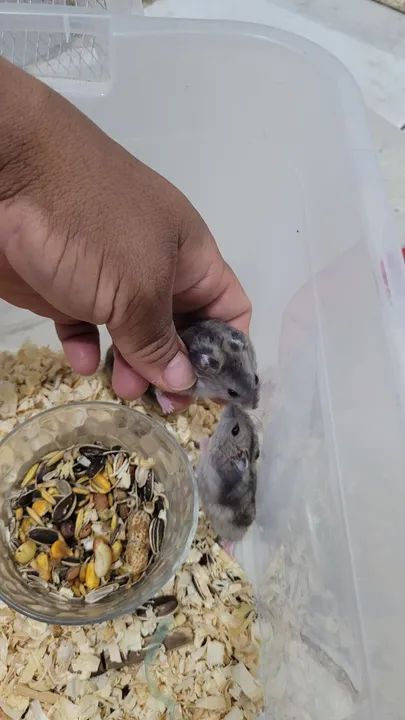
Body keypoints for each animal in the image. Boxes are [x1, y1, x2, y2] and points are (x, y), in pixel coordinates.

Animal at [105, 319, 259, 414]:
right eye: (232, 392)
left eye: (257, 378)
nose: (255, 407)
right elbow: (158, 391)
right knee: (157, 391)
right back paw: (169, 408)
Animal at [197, 404, 260, 553]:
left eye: (235, 430)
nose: (234, 404)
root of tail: (246, 529)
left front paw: (201, 438)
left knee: (234, 540)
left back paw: (226, 549)